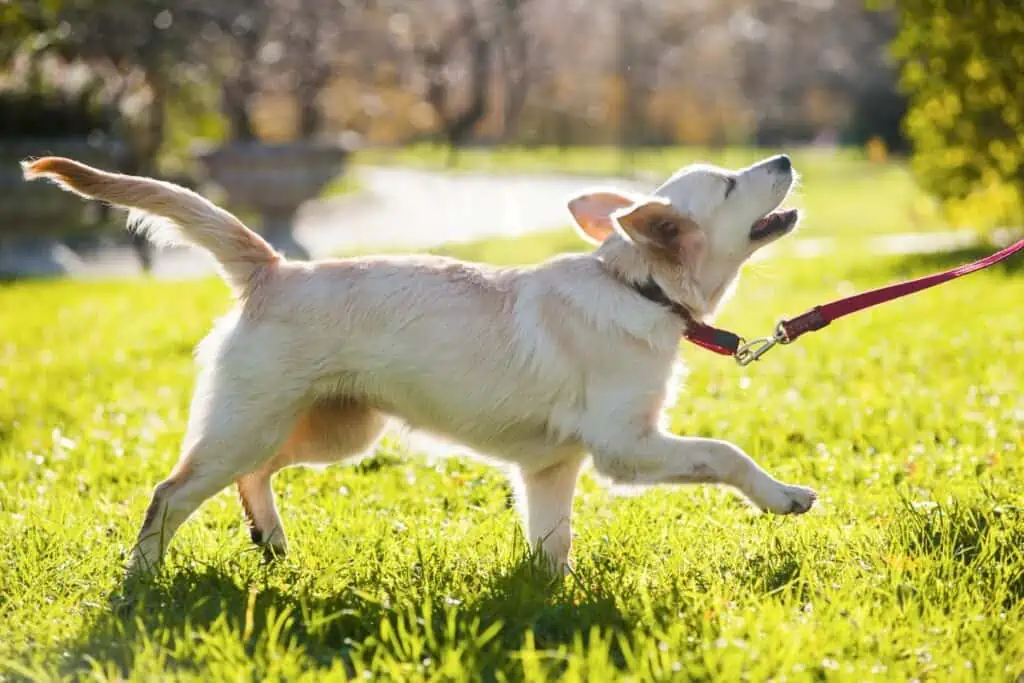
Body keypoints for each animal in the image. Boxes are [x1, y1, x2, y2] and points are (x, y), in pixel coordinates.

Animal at [19, 153, 815, 577]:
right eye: (730, 185)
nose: (782, 161)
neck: (637, 286)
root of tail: (272, 267)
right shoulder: (627, 447)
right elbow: (727, 452)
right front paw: (782, 496)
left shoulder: (551, 469)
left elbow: (552, 540)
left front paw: (551, 598)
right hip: (254, 423)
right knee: (170, 491)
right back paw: (142, 577)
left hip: (333, 429)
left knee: (254, 475)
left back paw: (269, 539)